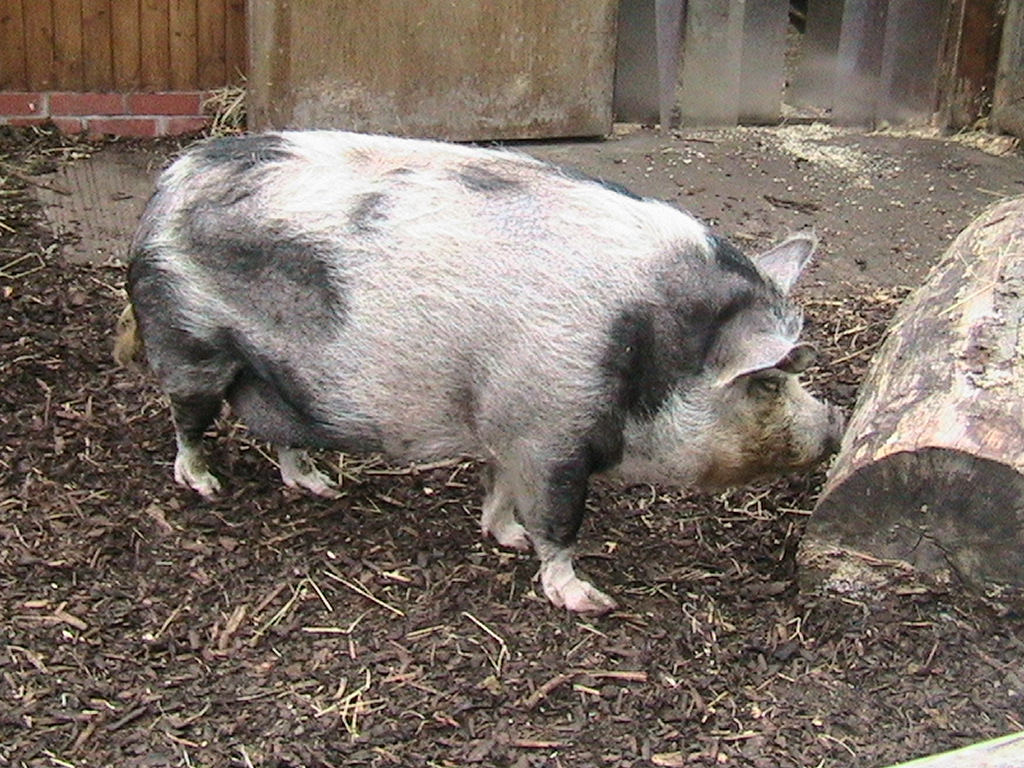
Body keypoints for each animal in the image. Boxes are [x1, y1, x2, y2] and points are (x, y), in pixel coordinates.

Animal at [115, 130, 844, 615]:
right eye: (768, 381)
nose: (837, 423)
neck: (643, 350)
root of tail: (168, 183)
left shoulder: (510, 428)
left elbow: (500, 492)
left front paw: (507, 539)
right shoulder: (552, 435)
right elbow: (560, 522)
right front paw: (590, 600)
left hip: (278, 377)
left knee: (281, 434)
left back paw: (321, 485)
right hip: (189, 343)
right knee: (187, 421)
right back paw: (206, 485)